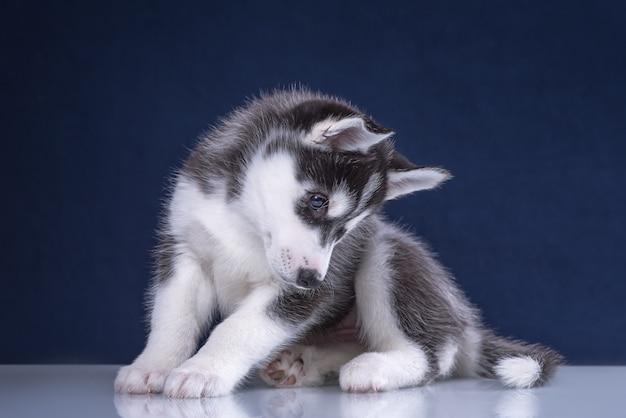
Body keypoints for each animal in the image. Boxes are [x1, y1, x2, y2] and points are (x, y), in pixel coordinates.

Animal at [113, 89, 560, 398]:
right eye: (318, 202)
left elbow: (238, 328)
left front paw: (202, 371)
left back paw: (373, 368)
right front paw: (153, 366)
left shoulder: (298, 291)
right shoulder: (183, 253)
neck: (242, 218)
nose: (312, 279)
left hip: (386, 256)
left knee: (431, 357)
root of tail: (465, 323)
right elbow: (172, 318)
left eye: (347, 229)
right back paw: (303, 364)